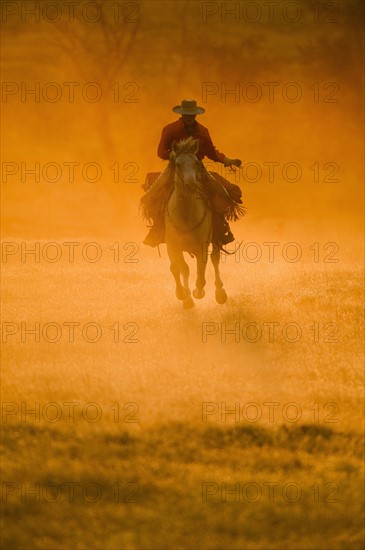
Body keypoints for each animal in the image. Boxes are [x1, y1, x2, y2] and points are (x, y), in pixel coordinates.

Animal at [164, 137, 226, 310]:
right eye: (177, 163)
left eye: (196, 163)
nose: (191, 185)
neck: (186, 215)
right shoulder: (172, 245)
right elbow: (178, 268)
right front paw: (183, 295)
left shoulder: (201, 247)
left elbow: (201, 272)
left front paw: (198, 292)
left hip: (216, 238)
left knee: (215, 260)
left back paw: (220, 293)